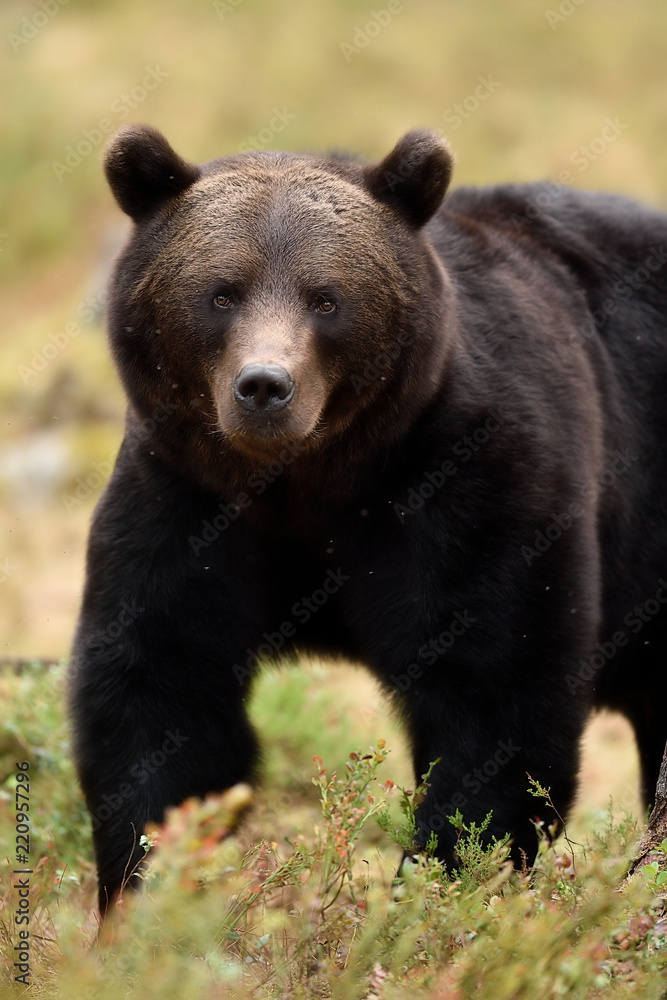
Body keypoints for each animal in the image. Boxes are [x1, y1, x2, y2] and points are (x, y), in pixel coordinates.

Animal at [69, 123, 667, 914]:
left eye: (326, 298)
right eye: (221, 292)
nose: (265, 387)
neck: (312, 481)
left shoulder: (474, 485)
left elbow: (493, 695)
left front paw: (435, 885)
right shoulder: (186, 500)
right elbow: (162, 691)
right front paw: (148, 890)